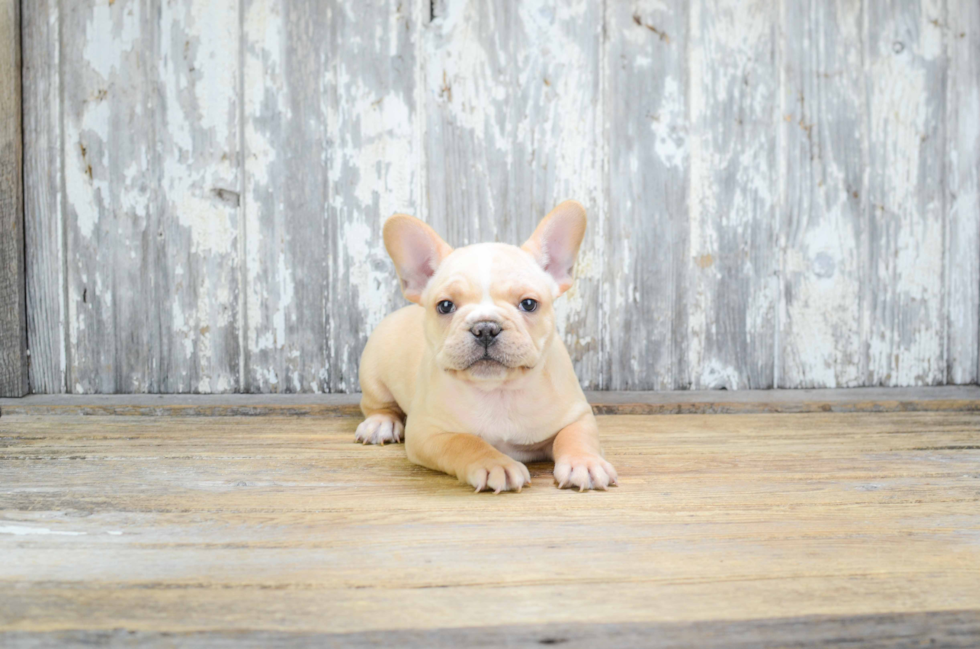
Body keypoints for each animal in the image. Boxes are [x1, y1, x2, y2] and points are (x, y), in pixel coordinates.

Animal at [356, 201, 616, 492]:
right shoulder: (427, 432)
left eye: (529, 304)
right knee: (378, 405)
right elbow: (464, 442)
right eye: (445, 306)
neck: (498, 391)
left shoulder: (576, 415)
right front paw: (495, 464)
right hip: (373, 375)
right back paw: (380, 424)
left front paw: (585, 463)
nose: (485, 328)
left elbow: (577, 436)